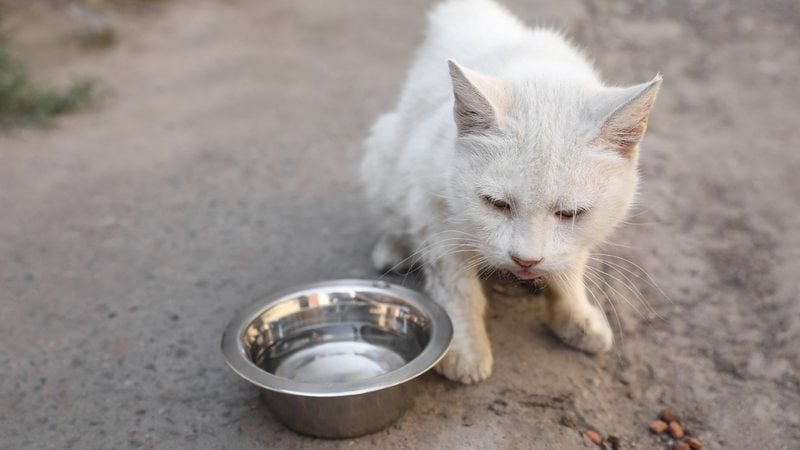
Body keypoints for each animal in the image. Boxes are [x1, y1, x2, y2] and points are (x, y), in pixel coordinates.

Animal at [362, 0, 664, 384]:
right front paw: (465, 348)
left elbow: (569, 268)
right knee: (392, 215)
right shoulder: (431, 208)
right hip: (385, 153)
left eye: (570, 214)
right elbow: (457, 287)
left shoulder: (578, 238)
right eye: (497, 204)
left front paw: (575, 317)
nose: (526, 260)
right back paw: (395, 249)